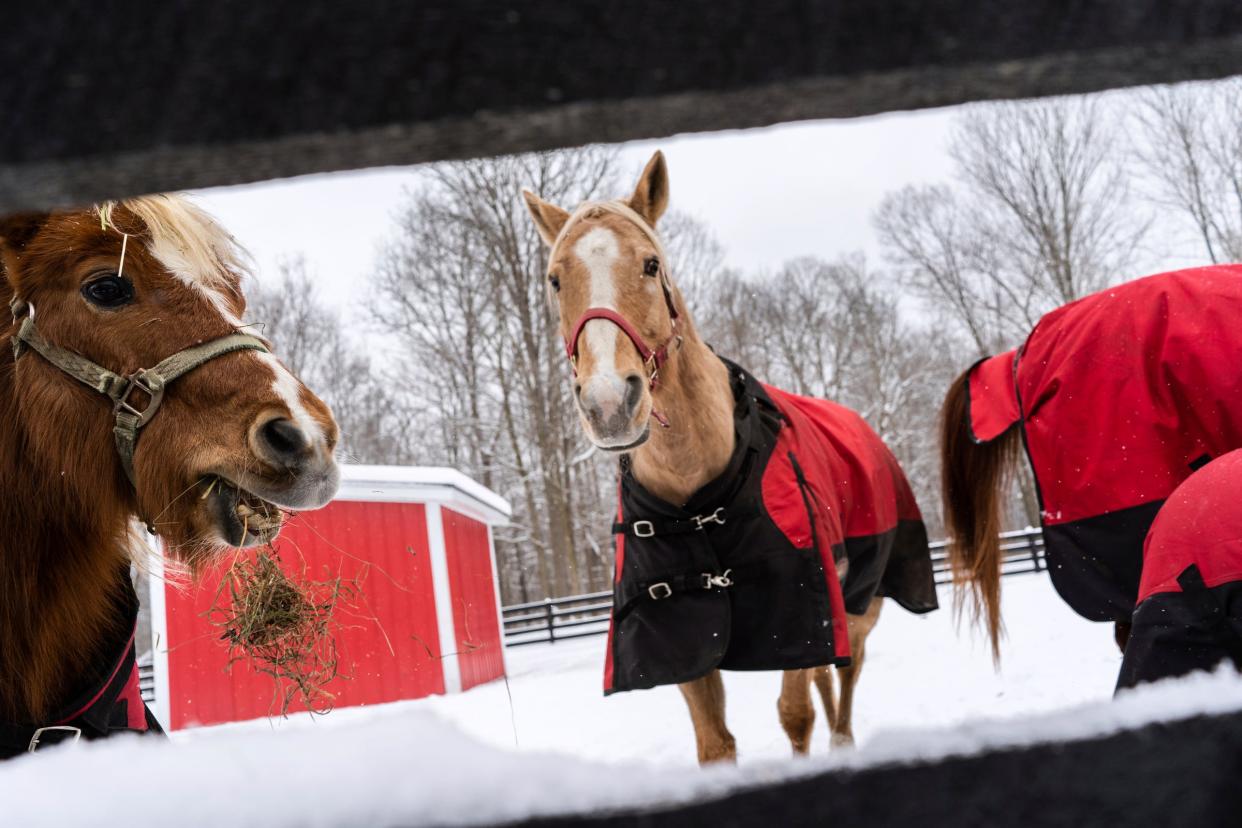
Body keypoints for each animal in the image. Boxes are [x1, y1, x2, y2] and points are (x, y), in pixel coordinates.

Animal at [519, 153, 933, 764]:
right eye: (555, 279)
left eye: (650, 265)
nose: (610, 404)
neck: (697, 494)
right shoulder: (684, 637)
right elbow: (716, 744)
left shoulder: (800, 616)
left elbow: (795, 714)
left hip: (862, 604)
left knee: (847, 672)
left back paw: (844, 741)